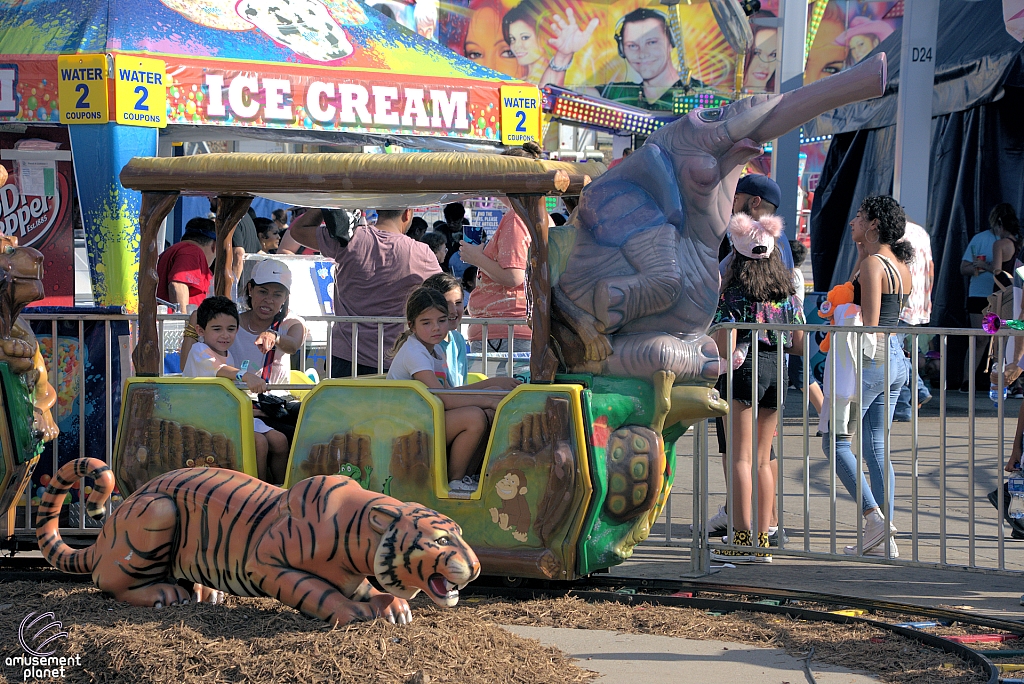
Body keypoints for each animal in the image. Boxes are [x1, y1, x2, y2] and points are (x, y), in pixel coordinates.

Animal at [34, 458, 477, 626]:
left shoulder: (356, 574)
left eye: (459, 531)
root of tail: (108, 526)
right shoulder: (267, 564)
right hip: (158, 512)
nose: (475, 567)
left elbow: (369, 589)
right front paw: (352, 612)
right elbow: (317, 591)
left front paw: (395, 607)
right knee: (109, 582)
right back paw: (165, 595)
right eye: (440, 539)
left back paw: (204, 592)